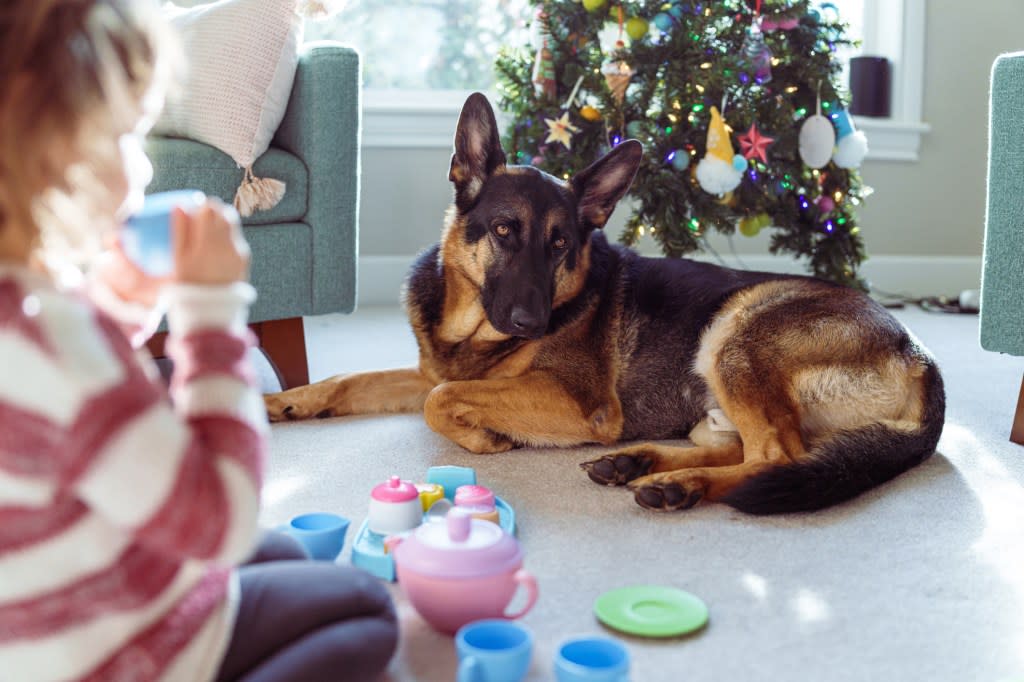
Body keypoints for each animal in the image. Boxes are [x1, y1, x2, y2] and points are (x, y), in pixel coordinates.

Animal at [264, 93, 942, 512]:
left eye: (561, 243)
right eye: (505, 230)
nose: (531, 321)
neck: (471, 329)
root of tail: (920, 354)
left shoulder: (577, 404)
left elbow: (442, 398)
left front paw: (483, 439)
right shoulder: (427, 368)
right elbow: (353, 379)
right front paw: (287, 400)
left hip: (737, 333)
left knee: (778, 456)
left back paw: (679, 484)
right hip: (713, 396)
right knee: (747, 448)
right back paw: (639, 464)